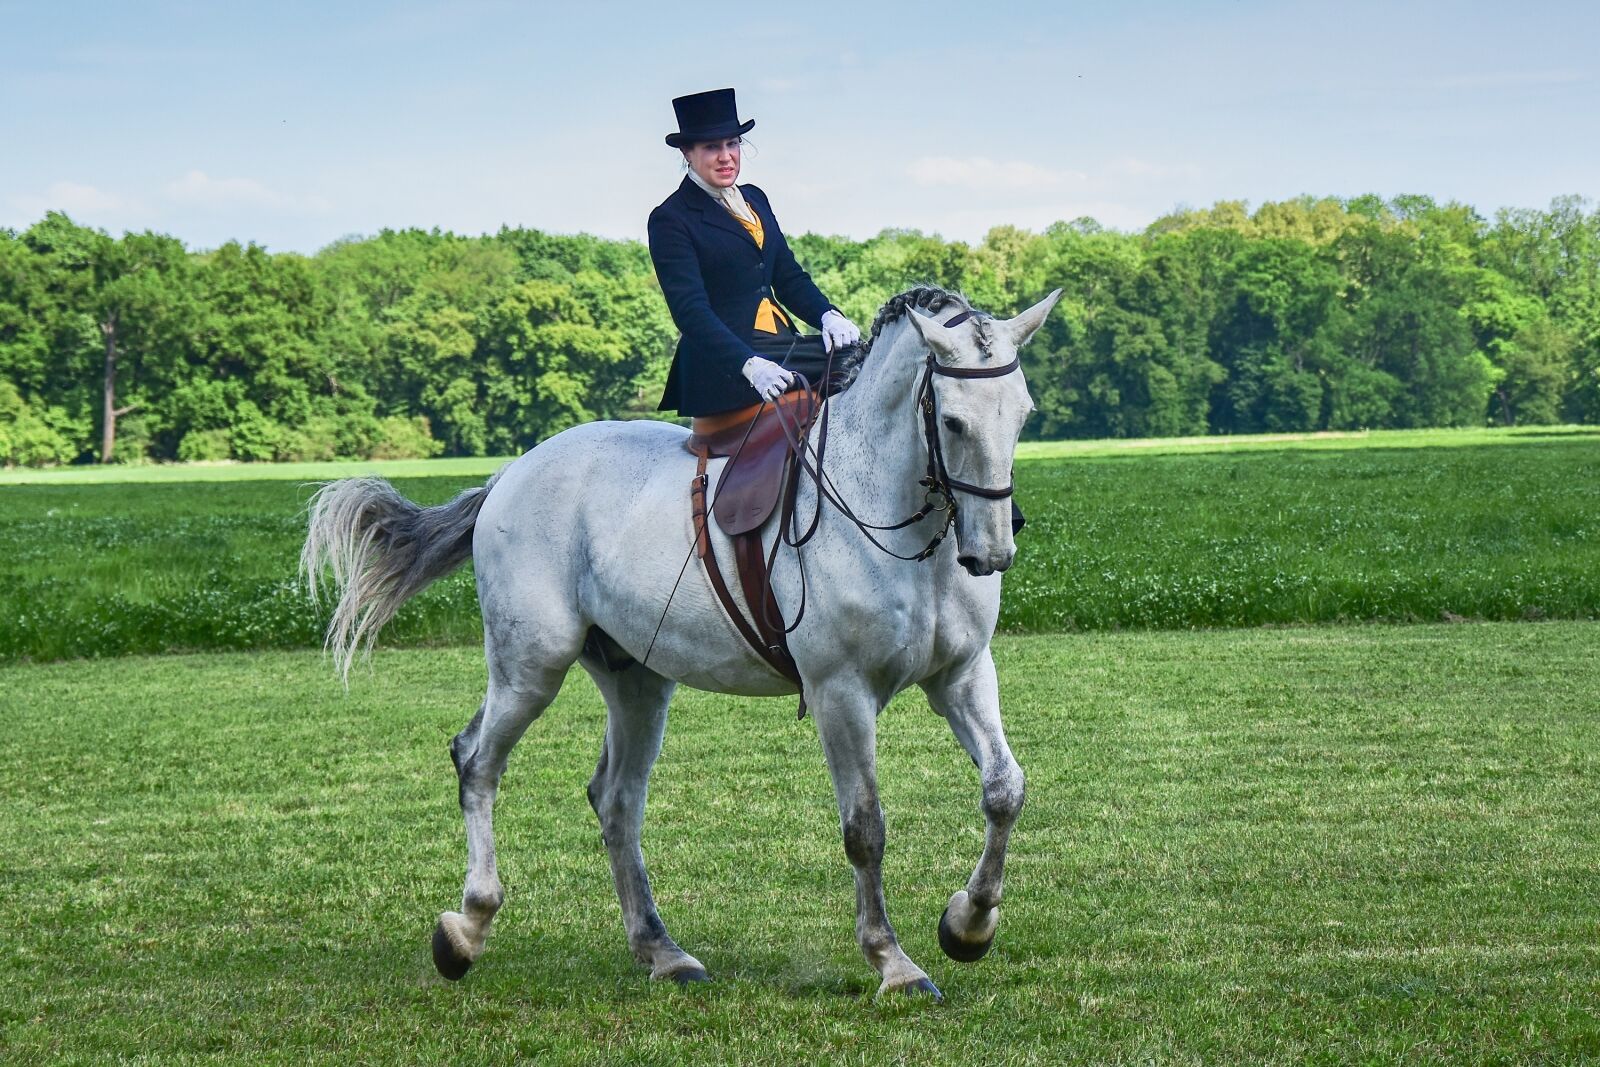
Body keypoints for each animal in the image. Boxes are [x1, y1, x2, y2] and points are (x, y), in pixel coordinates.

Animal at [301, 284, 1062, 1000]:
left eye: (1023, 413)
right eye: (954, 421)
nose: (993, 552)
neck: (891, 512)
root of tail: (512, 474)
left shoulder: (962, 675)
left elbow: (1005, 789)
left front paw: (969, 924)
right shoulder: (840, 692)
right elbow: (864, 826)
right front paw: (894, 963)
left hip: (637, 680)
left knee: (614, 799)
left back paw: (661, 950)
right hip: (530, 667)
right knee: (478, 762)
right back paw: (466, 930)